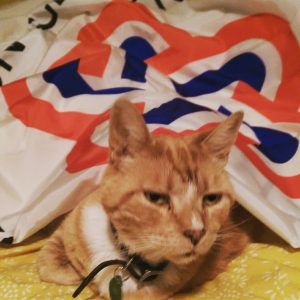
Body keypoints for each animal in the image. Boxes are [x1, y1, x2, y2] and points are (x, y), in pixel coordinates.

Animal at [39, 99, 251, 298]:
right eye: (155, 197)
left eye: (211, 198)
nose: (197, 233)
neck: (126, 257)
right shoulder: (72, 222)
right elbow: (48, 262)